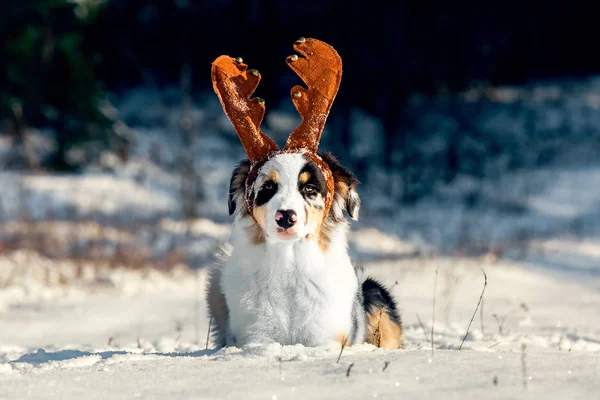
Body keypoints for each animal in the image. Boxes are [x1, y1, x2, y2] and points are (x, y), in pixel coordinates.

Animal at [206, 152, 404, 348]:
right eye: (268, 186)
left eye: (309, 188)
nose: (286, 216)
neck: (288, 265)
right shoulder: (255, 336)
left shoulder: (325, 337)